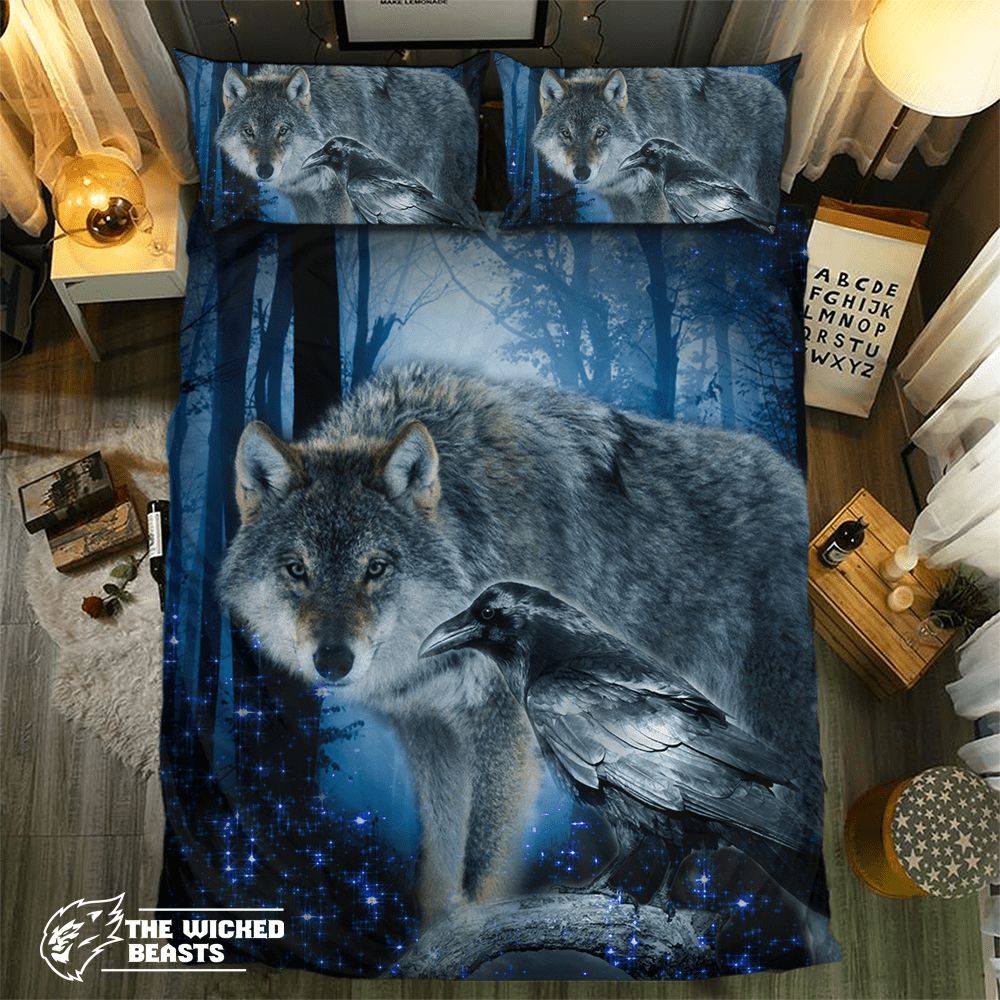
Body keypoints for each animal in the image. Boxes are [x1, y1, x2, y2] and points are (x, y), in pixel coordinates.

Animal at [215, 65, 477, 223]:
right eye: (249, 131)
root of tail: (463, 94)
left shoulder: (337, 196)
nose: (264, 170)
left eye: (283, 130)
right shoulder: (303, 198)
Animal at [217, 366, 822, 924]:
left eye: (376, 568)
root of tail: (797, 485)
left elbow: (484, 867)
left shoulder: (502, 725)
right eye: (297, 570)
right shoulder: (428, 730)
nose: (332, 661)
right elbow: (439, 871)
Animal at [533, 68, 785, 223]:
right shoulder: (620, 201)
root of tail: (780, 95)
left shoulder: (656, 200)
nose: (581, 172)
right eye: (566, 133)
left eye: (600, 132)